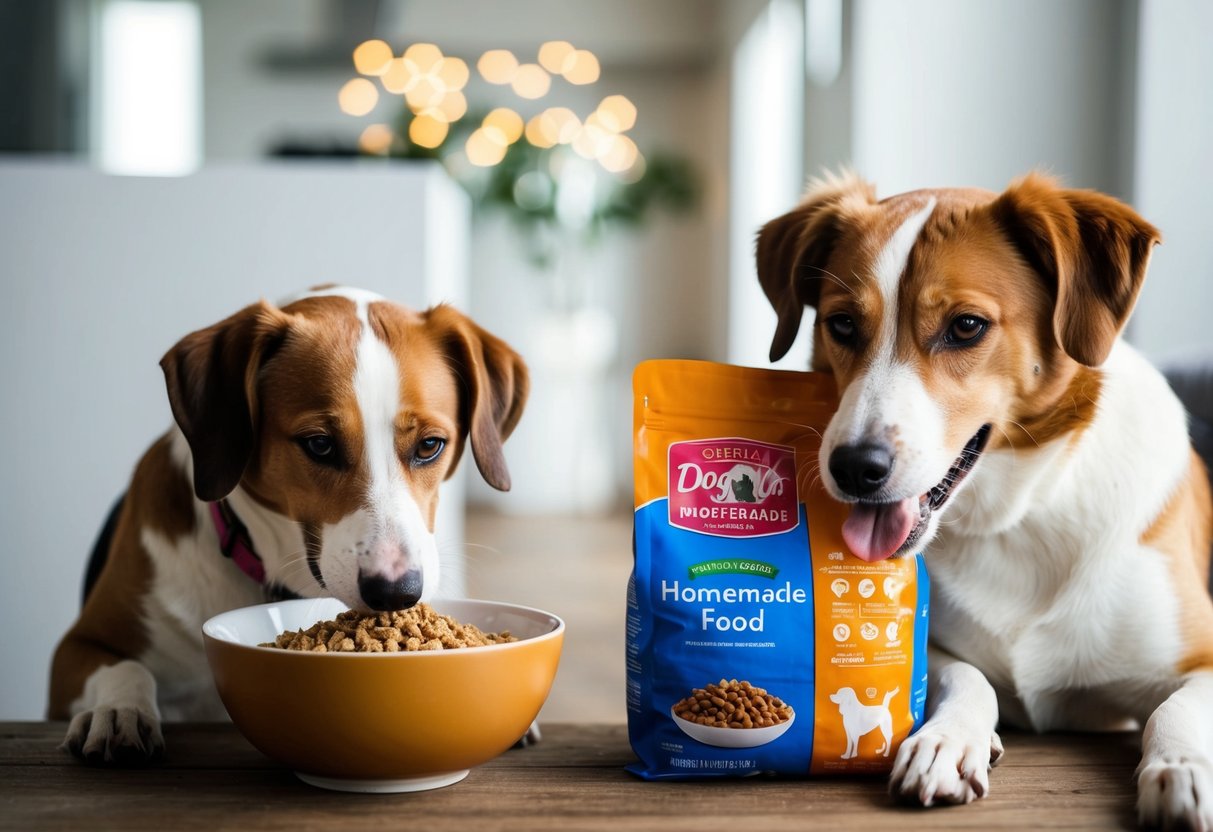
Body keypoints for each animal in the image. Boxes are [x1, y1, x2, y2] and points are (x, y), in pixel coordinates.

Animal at [47, 288, 526, 771]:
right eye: (319, 444)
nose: (396, 593)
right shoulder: (76, 649)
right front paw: (116, 711)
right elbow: (127, 667)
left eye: (430, 445)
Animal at [756, 172, 1213, 829]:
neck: (1020, 516)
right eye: (841, 325)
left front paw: (1181, 769)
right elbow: (968, 674)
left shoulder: (1201, 658)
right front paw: (947, 740)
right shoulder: (930, 648)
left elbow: (1175, 708)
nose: (854, 468)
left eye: (967, 326)